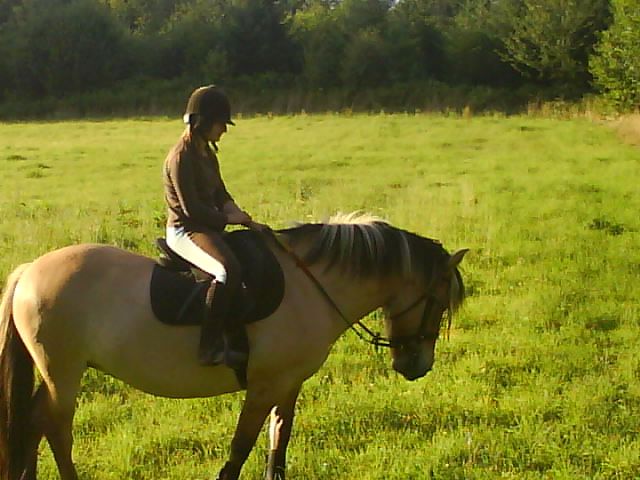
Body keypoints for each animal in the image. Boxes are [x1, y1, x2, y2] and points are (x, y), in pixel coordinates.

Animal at [0, 212, 467, 480]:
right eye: (438, 302)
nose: (417, 365)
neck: (309, 286)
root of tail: (29, 271)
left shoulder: (289, 383)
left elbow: (279, 440)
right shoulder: (262, 386)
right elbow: (241, 448)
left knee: (34, 421)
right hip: (64, 372)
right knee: (54, 426)